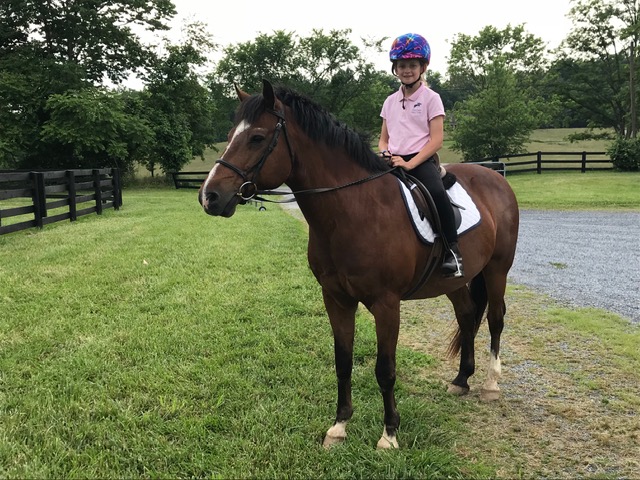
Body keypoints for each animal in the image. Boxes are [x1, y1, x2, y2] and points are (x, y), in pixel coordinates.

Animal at [199, 79, 519, 449]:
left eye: (257, 137)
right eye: (230, 134)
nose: (209, 196)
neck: (353, 210)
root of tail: (496, 178)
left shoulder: (386, 304)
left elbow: (385, 369)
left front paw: (389, 434)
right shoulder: (336, 299)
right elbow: (343, 362)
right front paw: (339, 427)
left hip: (497, 269)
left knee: (495, 319)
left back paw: (490, 384)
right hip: (454, 280)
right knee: (467, 315)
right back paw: (461, 379)